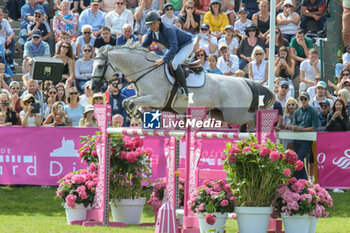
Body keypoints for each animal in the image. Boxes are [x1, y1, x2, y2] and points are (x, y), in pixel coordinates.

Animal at [91, 41, 276, 126]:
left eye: (100, 66)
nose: (92, 87)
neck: (145, 69)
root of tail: (245, 82)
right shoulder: (143, 97)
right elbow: (127, 101)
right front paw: (138, 116)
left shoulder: (155, 99)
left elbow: (127, 102)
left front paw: (137, 115)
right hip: (219, 114)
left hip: (234, 114)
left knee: (253, 117)